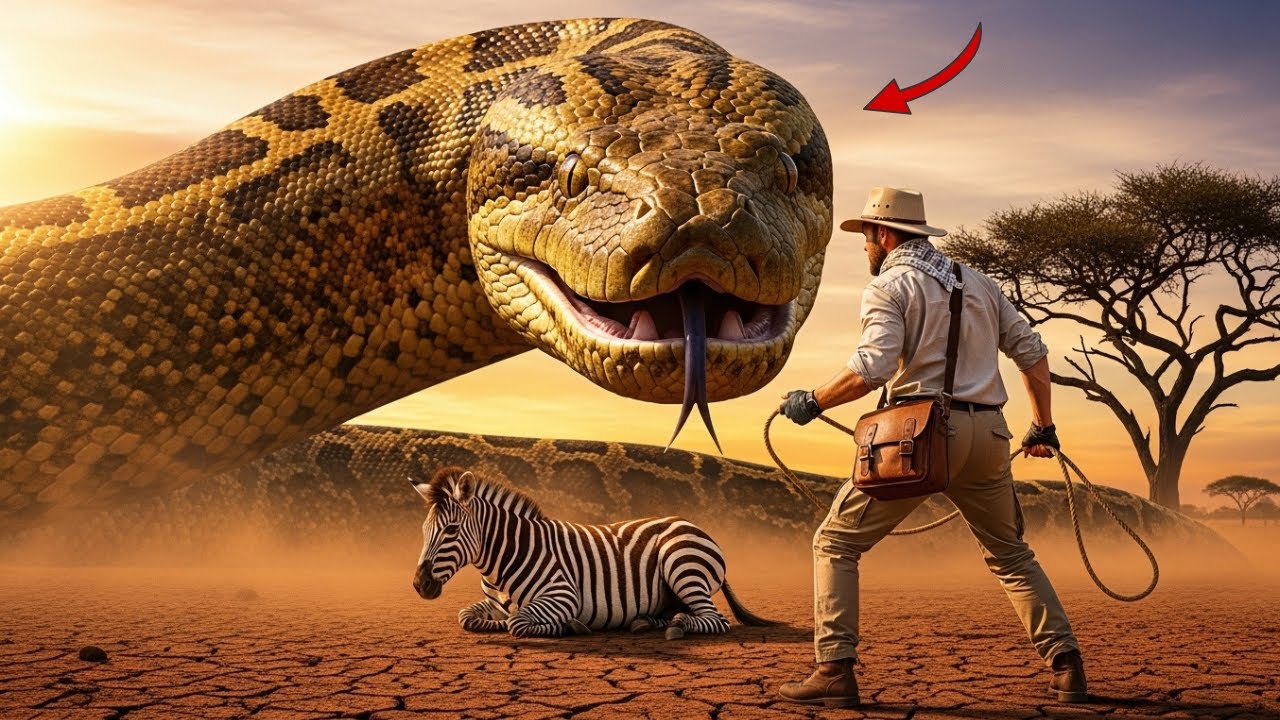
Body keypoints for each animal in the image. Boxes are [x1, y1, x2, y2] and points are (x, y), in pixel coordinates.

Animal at [410, 465, 776, 639]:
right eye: (424, 531)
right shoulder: (493, 602)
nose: (418, 585)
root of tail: (692, 523)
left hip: (682, 566)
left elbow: (518, 621)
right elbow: (467, 616)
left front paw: (571, 626)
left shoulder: (563, 594)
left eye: (451, 531)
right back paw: (645, 622)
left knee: (714, 620)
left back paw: (678, 626)